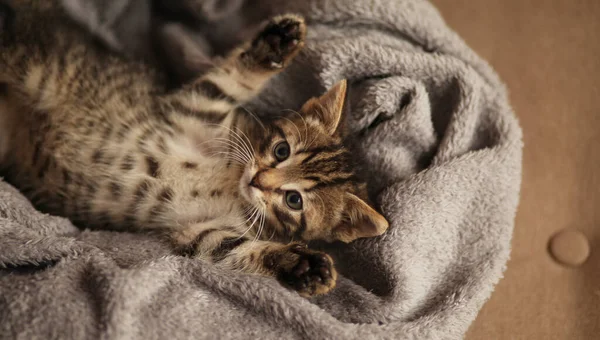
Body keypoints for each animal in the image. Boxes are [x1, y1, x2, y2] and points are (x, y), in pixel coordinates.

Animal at [0, 0, 390, 296]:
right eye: (281, 151)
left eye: (294, 200)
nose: (258, 180)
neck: (231, 184)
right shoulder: (193, 108)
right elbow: (229, 81)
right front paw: (277, 44)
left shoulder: (201, 230)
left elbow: (236, 250)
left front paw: (302, 266)